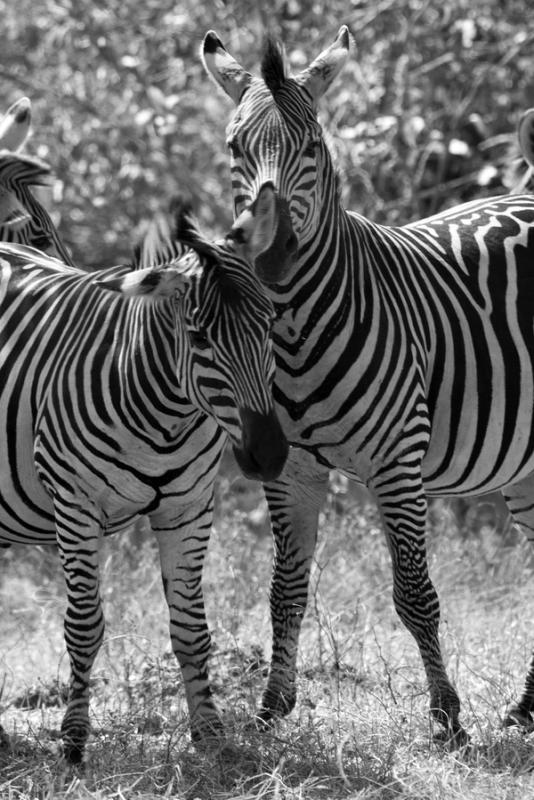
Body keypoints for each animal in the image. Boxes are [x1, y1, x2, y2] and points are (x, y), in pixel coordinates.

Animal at [0, 181, 288, 764]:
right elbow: (84, 626)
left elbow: (192, 628)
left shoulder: (189, 508)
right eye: (198, 338)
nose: (270, 455)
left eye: (270, 323)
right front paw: (73, 742)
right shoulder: (75, 505)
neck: (166, 416)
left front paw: (211, 737)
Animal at [204, 29, 534, 744]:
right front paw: (271, 707)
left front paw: (447, 716)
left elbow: (414, 594)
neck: (294, 330)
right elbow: (285, 590)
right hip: (527, 465)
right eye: (235, 148)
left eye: (313, 148)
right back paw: (526, 708)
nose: (270, 254)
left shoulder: (396, 461)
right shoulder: (289, 466)